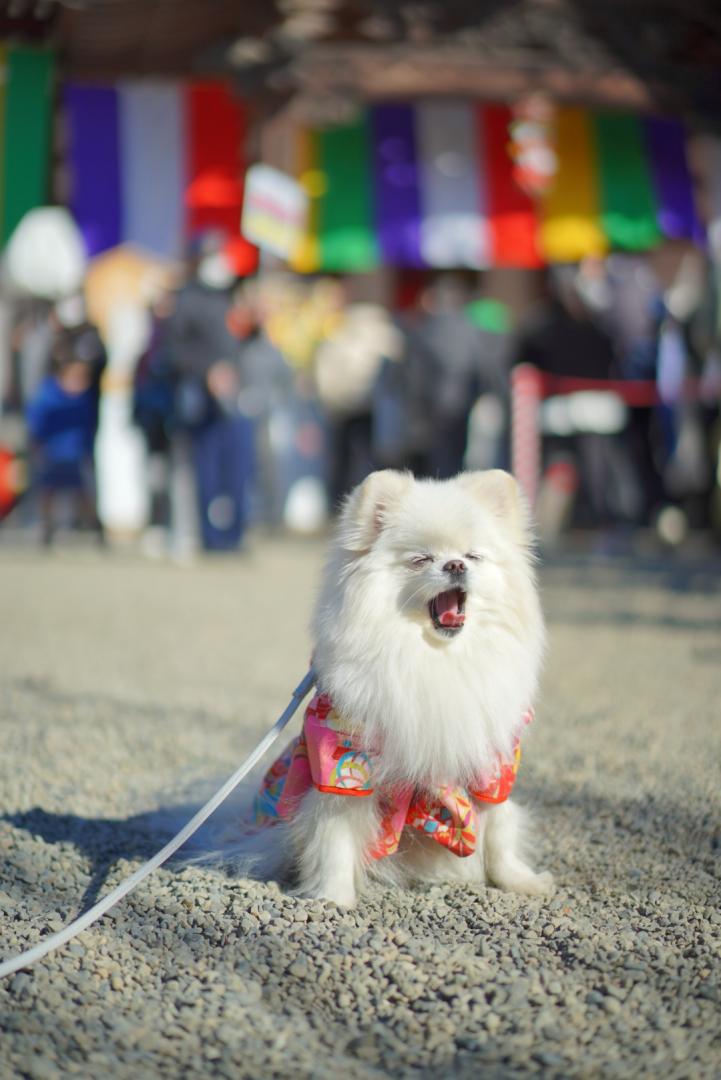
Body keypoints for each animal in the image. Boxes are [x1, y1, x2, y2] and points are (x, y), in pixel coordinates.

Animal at [252, 468, 552, 907]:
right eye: (420, 559)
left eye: (473, 556)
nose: (455, 564)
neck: (436, 656)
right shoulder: (343, 760)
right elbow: (335, 836)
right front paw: (334, 897)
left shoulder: (494, 761)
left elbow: (497, 827)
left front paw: (517, 880)